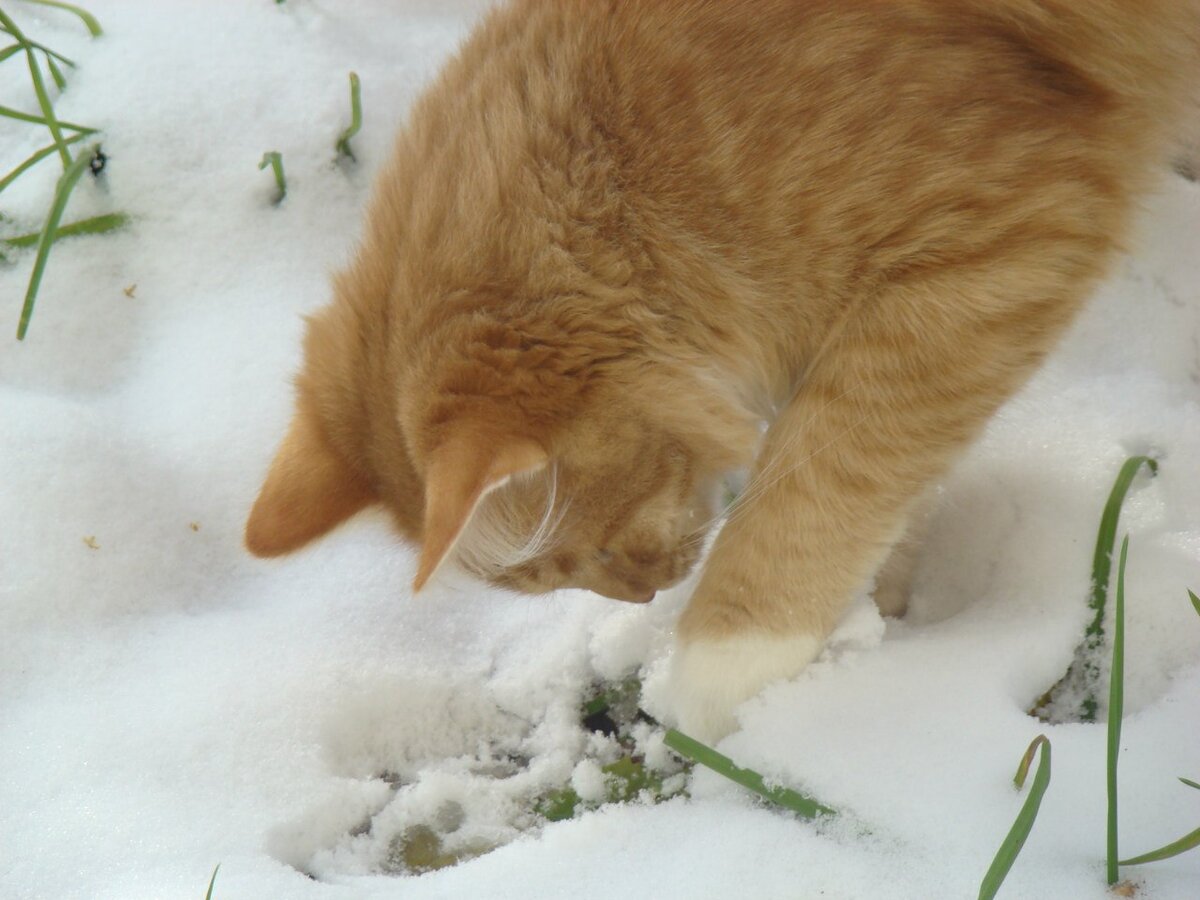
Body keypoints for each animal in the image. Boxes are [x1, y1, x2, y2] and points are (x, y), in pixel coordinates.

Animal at [246, 1, 1200, 739]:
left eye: (592, 547)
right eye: (563, 576)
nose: (643, 595)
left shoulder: (1003, 237)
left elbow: (824, 474)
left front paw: (723, 666)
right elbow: (894, 479)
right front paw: (875, 607)